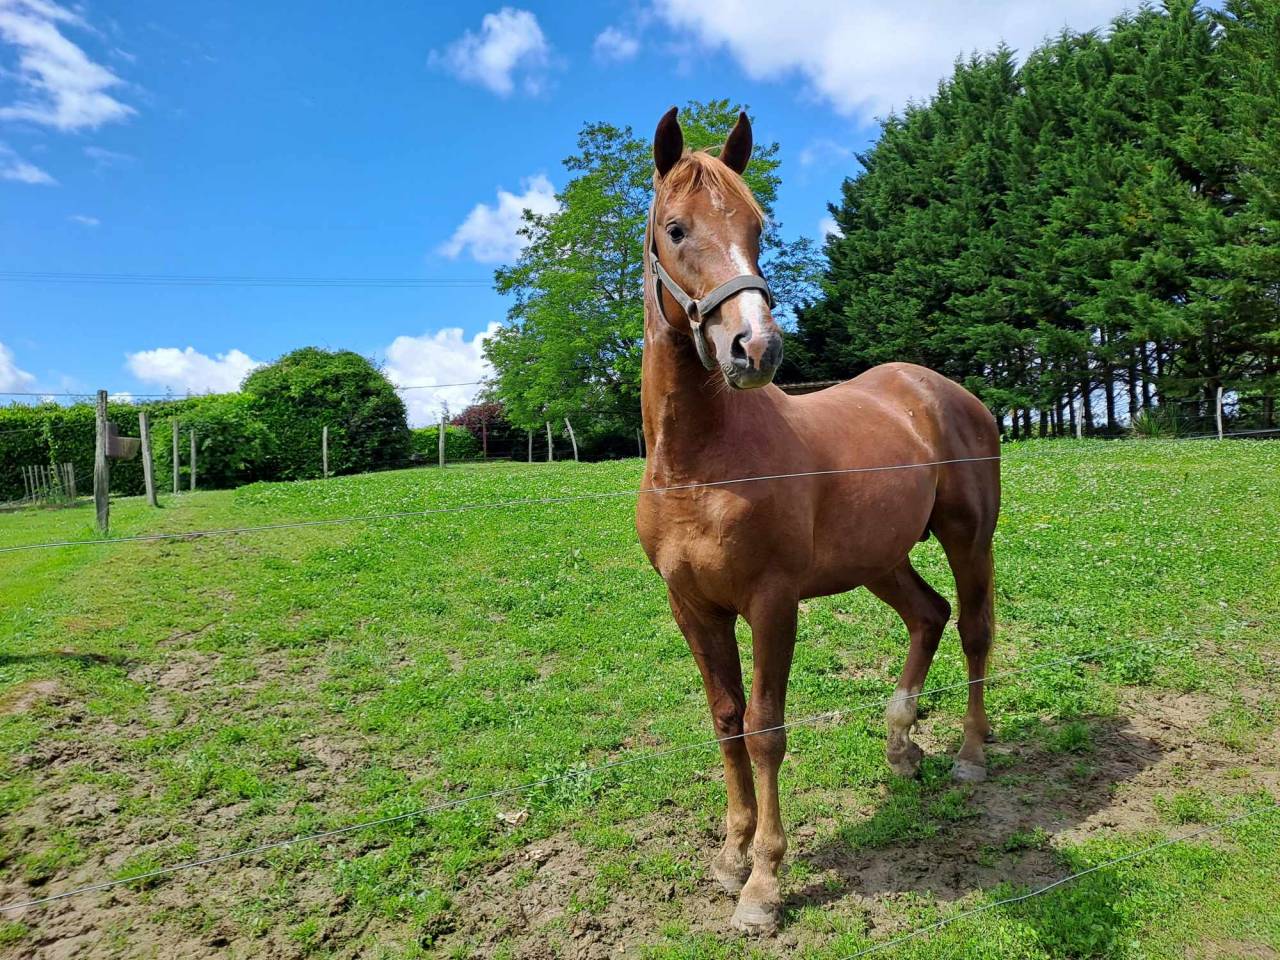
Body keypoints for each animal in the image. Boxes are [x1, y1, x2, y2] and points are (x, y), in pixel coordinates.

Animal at [635, 107, 1001, 936]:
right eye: (675, 229)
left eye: (757, 226)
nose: (756, 347)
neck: (698, 463)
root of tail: (943, 391)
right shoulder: (691, 608)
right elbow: (726, 719)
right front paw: (731, 854)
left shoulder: (772, 602)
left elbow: (766, 728)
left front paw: (764, 883)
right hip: (880, 559)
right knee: (928, 615)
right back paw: (901, 745)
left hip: (969, 538)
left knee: (972, 629)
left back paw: (969, 755)